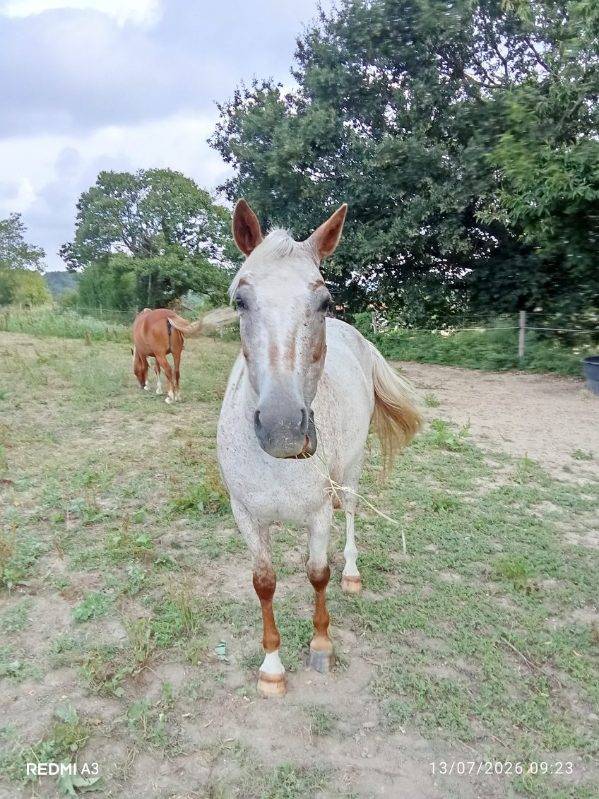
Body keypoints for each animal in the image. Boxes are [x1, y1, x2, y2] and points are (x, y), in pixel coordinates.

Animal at [217, 200, 422, 697]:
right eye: (240, 301)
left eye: (324, 302)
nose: (283, 429)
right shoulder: (245, 513)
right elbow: (264, 582)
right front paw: (272, 666)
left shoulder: (319, 511)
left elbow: (317, 574)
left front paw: (321, 646)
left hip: (351, 471)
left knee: (350, 514)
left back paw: (352, 573)